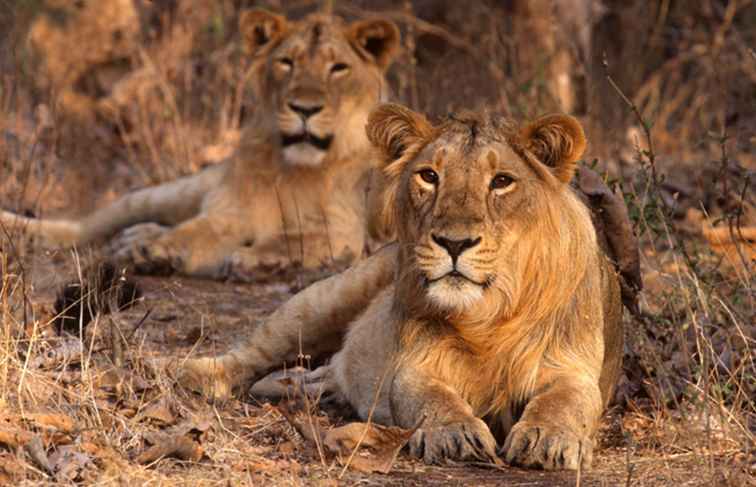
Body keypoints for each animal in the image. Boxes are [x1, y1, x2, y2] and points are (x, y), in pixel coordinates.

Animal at [0, 8, 402, 278]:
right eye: (286, 62)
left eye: (338, 68)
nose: (305, 108)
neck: (297, 168)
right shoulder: (230, 212)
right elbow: (197, 230)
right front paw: (156, 250)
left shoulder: (348, 231)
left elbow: (298, 238)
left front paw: (257, 257)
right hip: (170, 192)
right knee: (85, 227)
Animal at [176, 104, 628, 472]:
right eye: (429, 176)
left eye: (501, 181)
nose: (454, 243)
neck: (490, 315)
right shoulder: (414, 365)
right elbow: (431, 399)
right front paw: (455, 432)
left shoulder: (572, 367)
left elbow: (565, 401)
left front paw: (547, 438)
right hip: (327, 298)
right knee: (252, 353)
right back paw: (190, 372)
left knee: (319, 371)